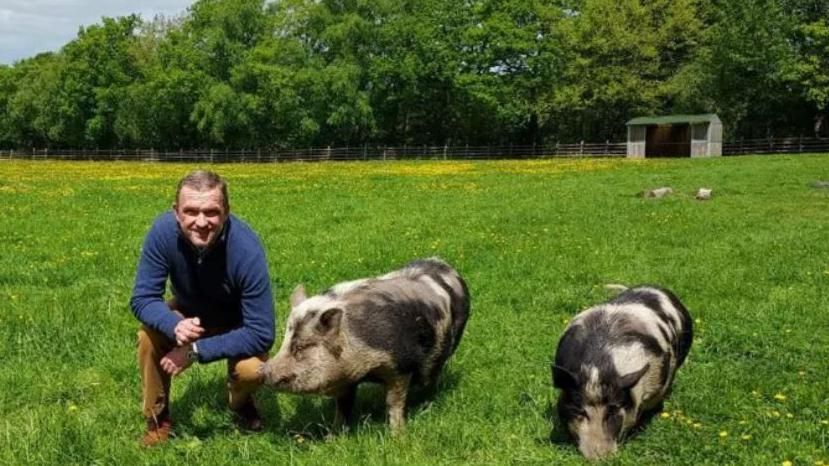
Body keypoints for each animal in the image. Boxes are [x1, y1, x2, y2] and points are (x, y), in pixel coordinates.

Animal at [258, 256, 468, 432]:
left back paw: (428, 400)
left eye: (301, 347)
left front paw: (398, 435)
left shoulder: (400, 366)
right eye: (284, 343)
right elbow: (343, 406)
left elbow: (394, 402)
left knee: (434, 372)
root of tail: (445, 264)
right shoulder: (346, 379)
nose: (263, 370)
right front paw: (333, 436)